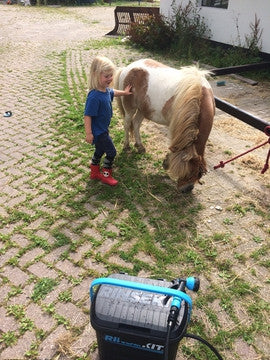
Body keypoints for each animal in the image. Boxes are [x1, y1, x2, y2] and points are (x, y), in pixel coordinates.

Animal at [114, 59, 215, 193]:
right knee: (127, 124)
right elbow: (175, 145)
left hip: (143, 110)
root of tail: (128, 68)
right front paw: (167, 162)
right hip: (130, 108)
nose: (187, 189)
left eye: (198, 173)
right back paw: (126, 146)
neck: (197, 94)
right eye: (187, 172)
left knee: (135, 124)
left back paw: (140, 146)